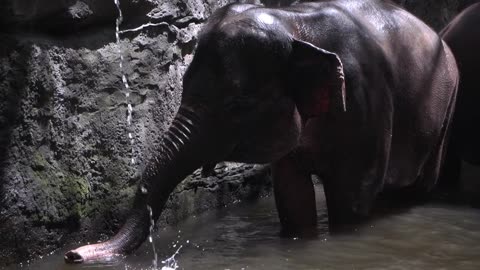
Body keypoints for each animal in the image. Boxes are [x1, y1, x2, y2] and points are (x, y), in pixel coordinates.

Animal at [62, 0, 458, 262]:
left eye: (238, 104)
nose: (73, 254)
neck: (296, 23)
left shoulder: (367, 106)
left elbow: (351, 197)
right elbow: (291, 194)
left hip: (448, 104)